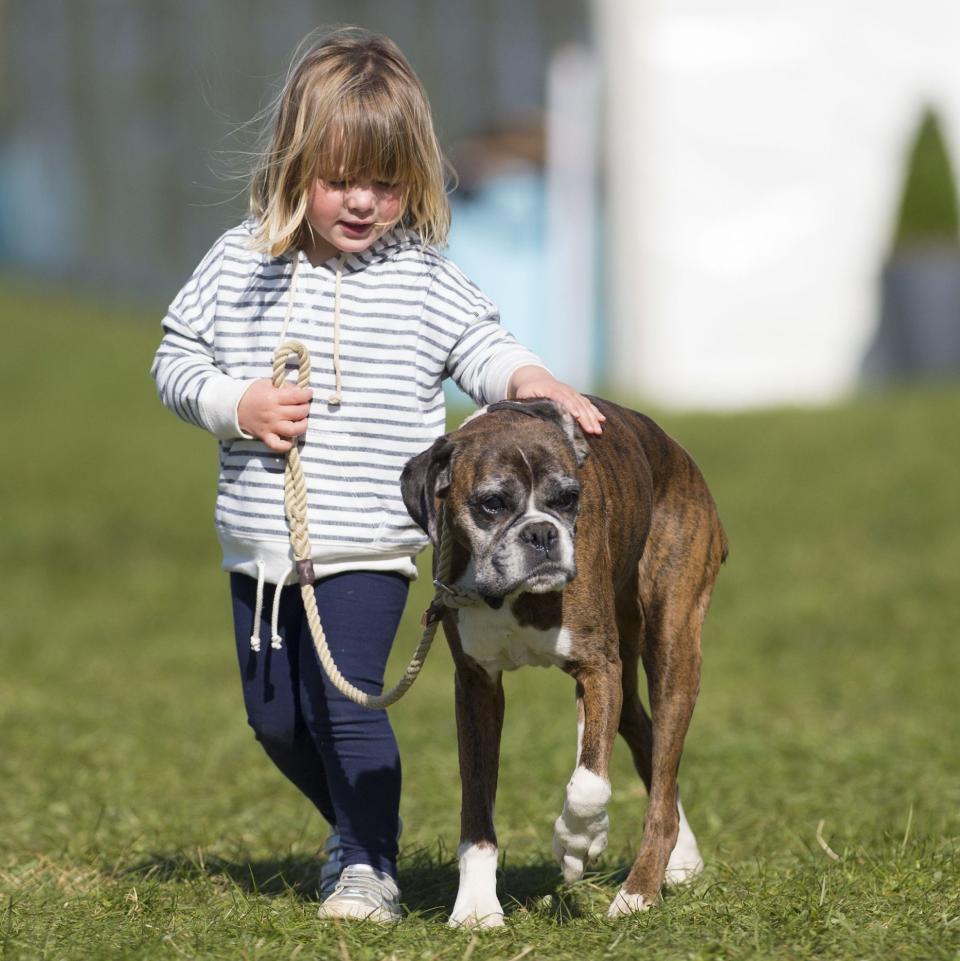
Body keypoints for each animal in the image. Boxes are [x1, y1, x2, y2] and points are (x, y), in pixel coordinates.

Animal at [400, 396, 728, 924]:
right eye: (492, 504)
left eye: (568, 499)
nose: (541, 533)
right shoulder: (476, 686)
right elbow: (477, 805)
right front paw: (476, 908)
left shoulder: (598, 668)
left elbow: (589, 784)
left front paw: (575, 842)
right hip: (629, 668)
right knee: (645, 743)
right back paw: (682, 859)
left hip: (673, 652)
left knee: (658, 787)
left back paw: (638, 892)